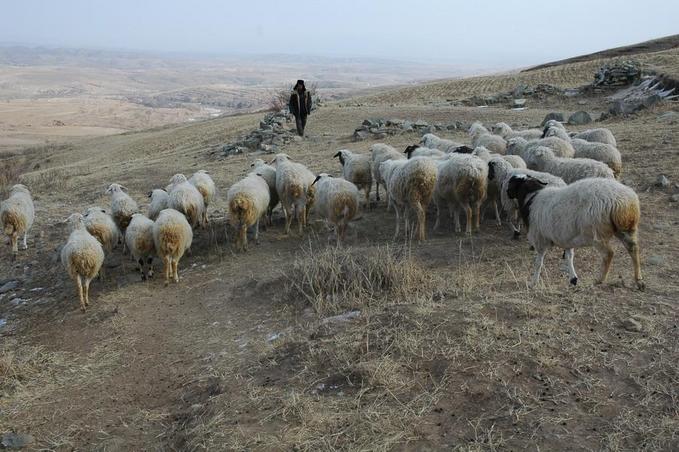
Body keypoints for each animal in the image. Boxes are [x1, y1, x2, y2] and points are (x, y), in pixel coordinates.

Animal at [508, 175, 644, 288]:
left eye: (513, 183)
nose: (507, 193)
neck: (532, 198)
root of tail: (623, 201)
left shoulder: (540, 239)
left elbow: (538, 262)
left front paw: (533, 282)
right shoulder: (565, 238)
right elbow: (569, 257)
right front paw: (573, 279)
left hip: (598, 233)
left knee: (608, 254)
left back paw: (600, 279)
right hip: (626, 229)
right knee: (633, 248)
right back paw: (639, 280)